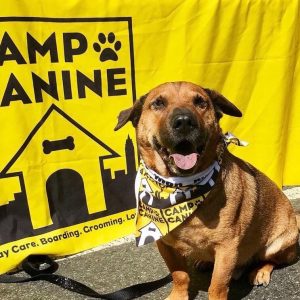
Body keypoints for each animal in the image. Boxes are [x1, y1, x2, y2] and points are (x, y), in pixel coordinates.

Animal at [113, 82, 298, 300]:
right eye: (158, 103)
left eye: (200, 102)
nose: (184, 122)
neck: (180, 189)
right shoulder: (165, 244)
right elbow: (179, 275)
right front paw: (178, 295)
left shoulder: (227, 248)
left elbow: (217, 286)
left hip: (277, 244)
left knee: (270, 260)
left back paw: (259, 271)